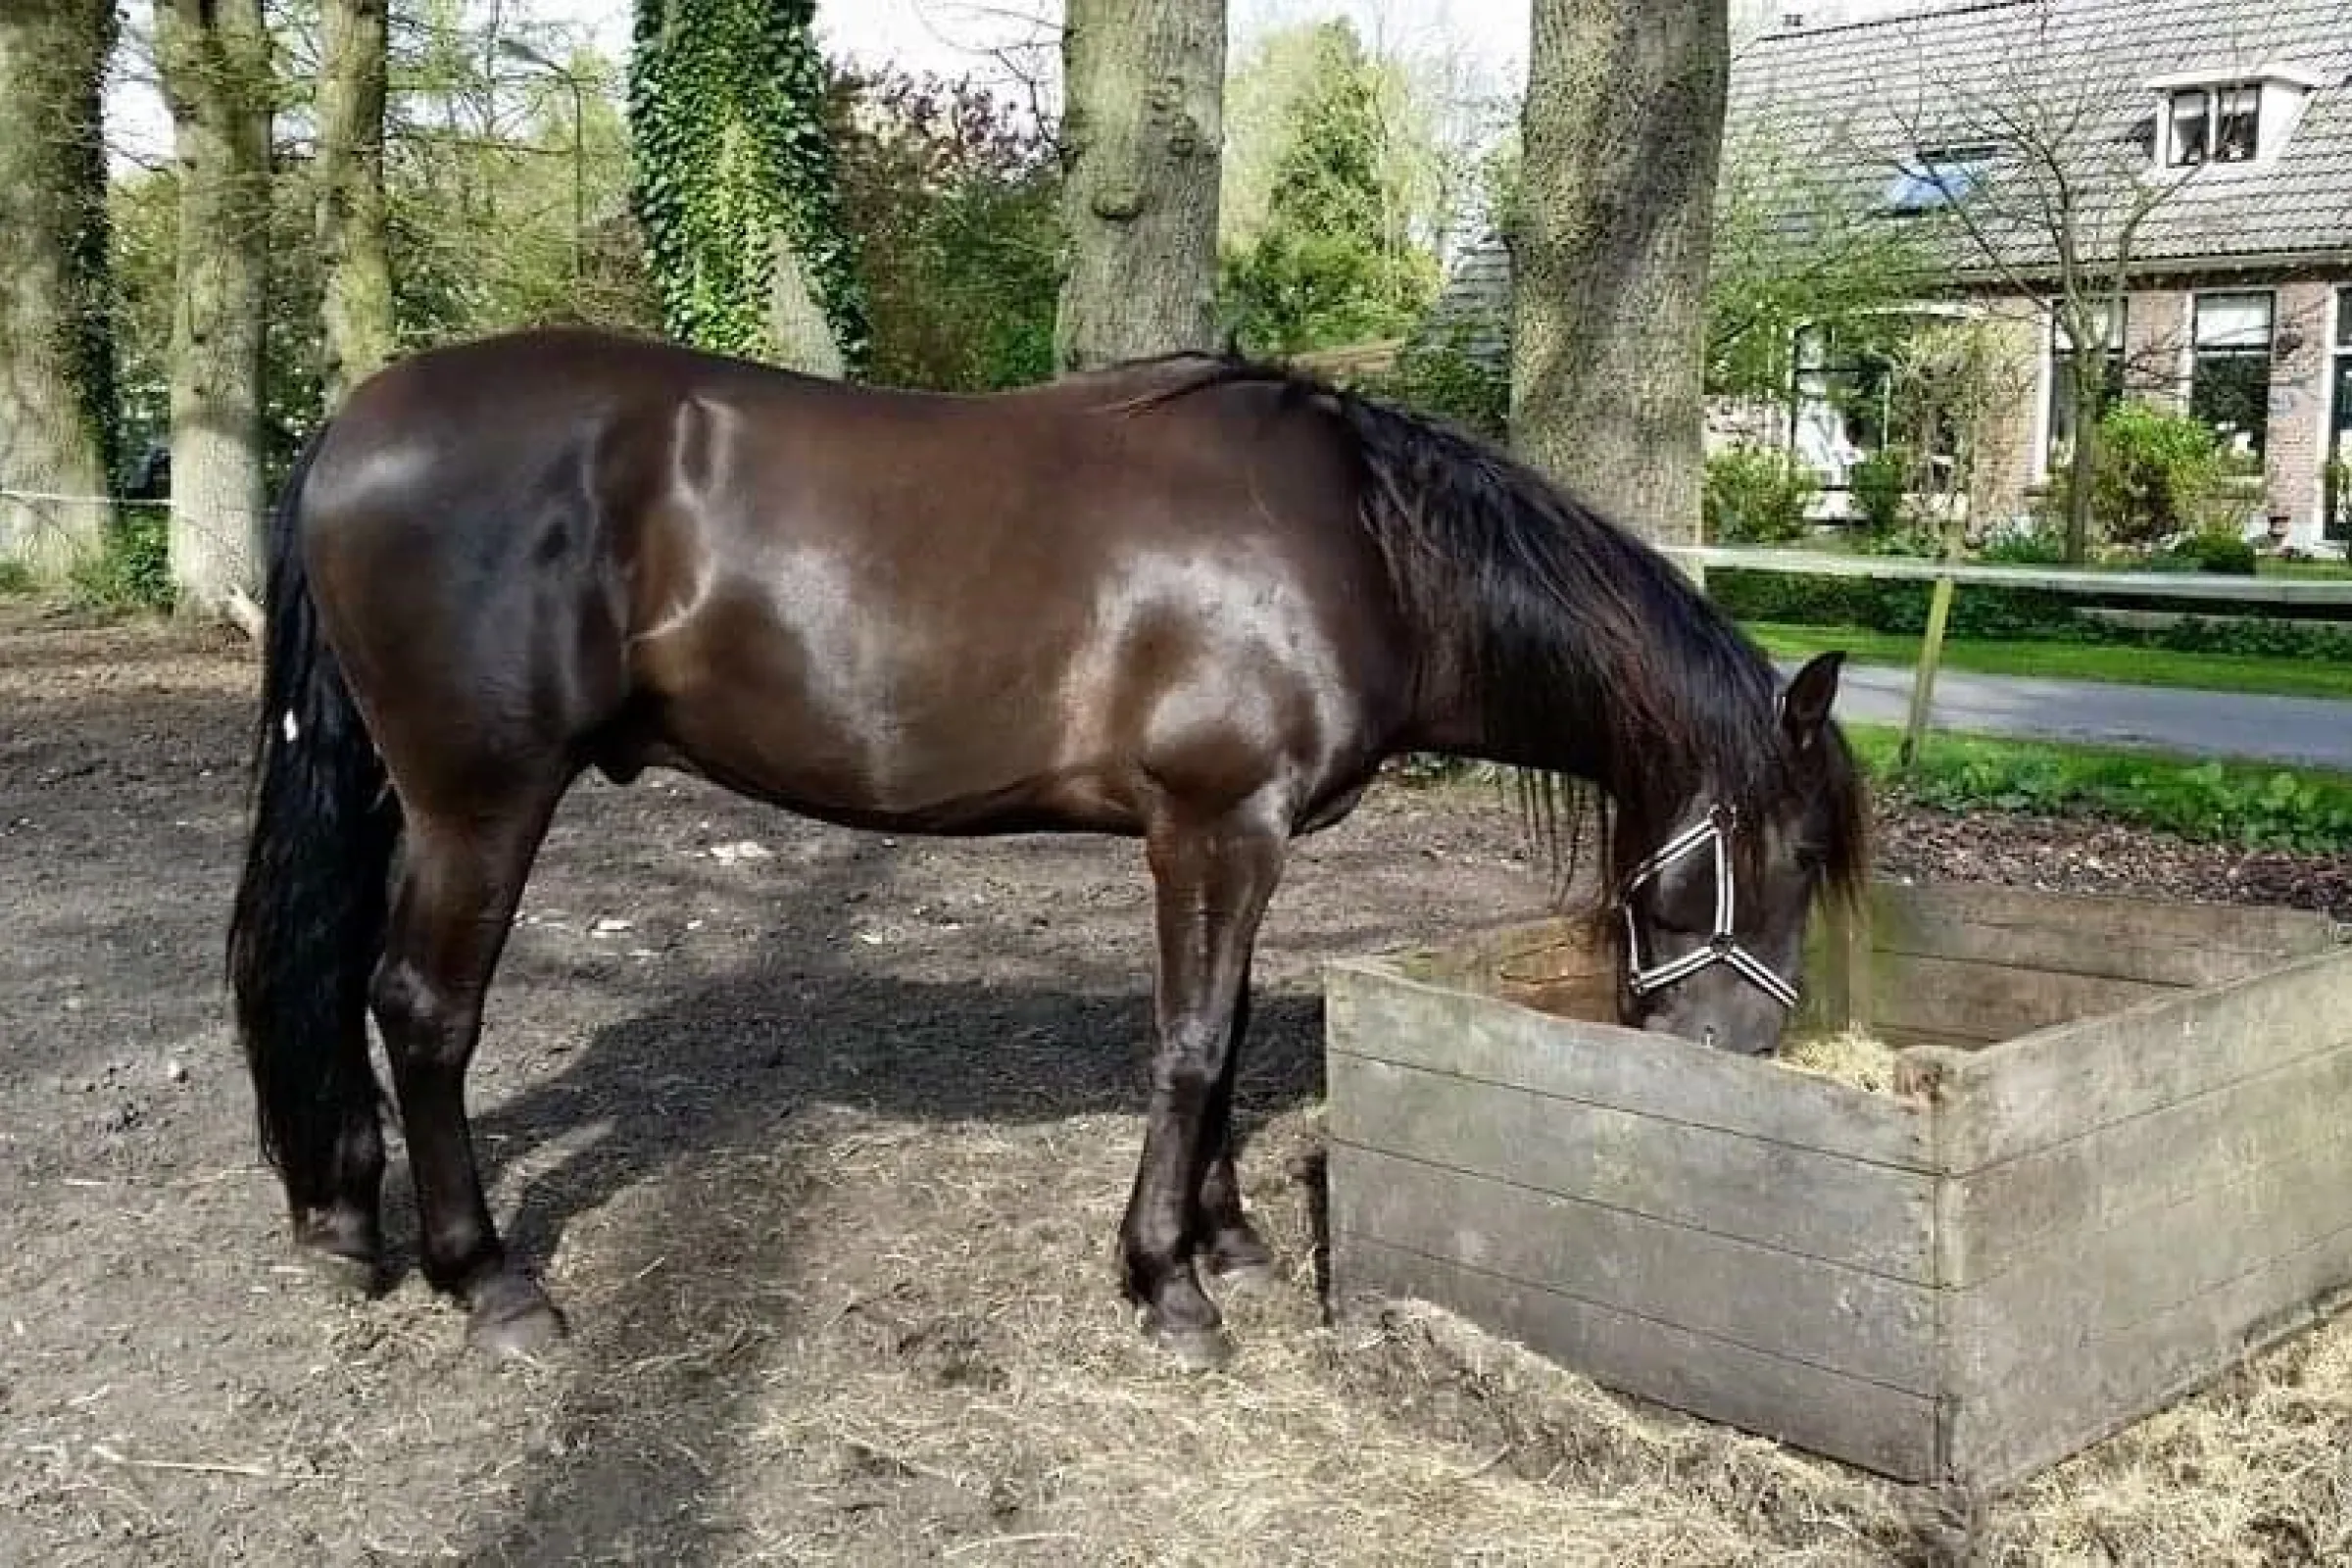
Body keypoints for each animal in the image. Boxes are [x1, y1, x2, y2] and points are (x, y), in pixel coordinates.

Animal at [225, 325, 1868, 1369]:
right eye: (1793, 854)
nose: (1744, 1061)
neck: (1363, 548)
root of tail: (354, 423)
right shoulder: (1215, 829)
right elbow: (1195, 1045)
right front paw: (1167, 1287)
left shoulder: (1242, 844)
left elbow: (1231, 1031)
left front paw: (1223, 1243)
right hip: (480, 801)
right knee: (422, 1013)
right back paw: (486, 1282)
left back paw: (346, 1219)